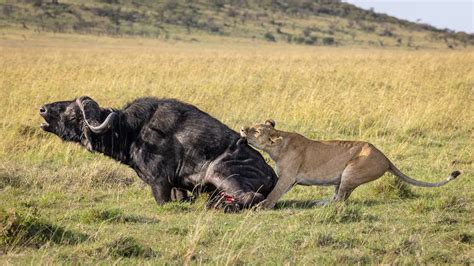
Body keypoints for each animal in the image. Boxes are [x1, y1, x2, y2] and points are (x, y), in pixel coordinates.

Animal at [40, 96, 278, 211]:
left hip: (219, 171)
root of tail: (273, 175)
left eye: (71, 113)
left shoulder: (160, 183)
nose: (42, 108)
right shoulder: (178, 188)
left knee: (252, 197)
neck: (132, 130)